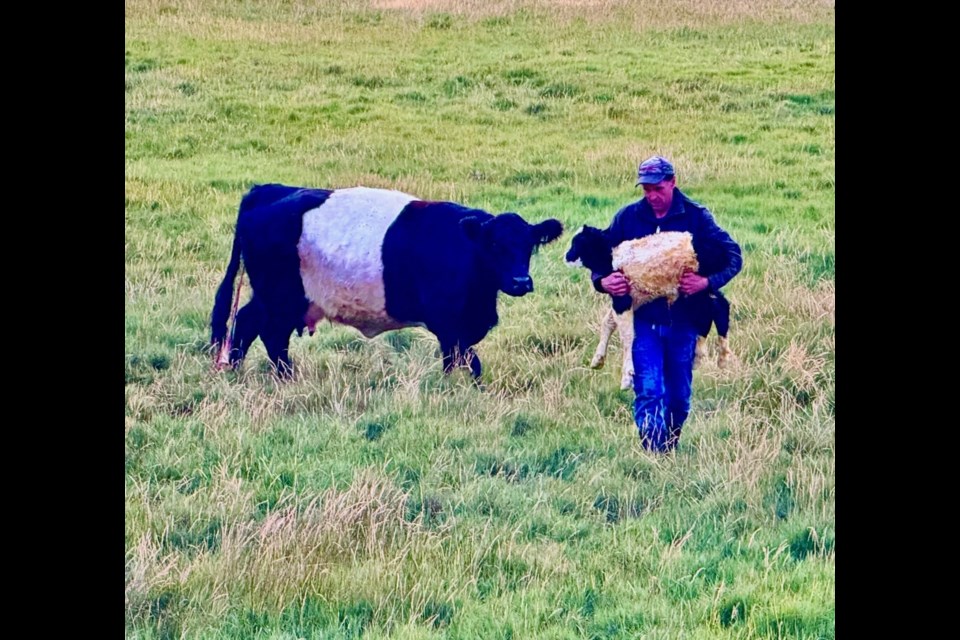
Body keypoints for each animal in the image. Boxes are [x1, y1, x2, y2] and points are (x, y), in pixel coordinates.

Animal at [210, 182, 564, 378]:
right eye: (494, 245)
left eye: (528, 245)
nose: (520, 281)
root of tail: (266, 190)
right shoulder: (448, 323)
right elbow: (463, 361)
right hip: (280, 297)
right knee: (266, 332)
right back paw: (283, 376)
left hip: (277, 298)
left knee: (249, 325)